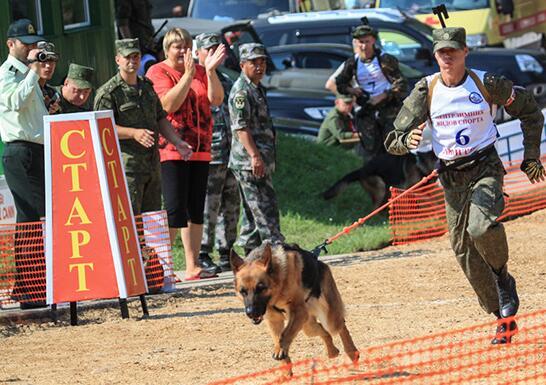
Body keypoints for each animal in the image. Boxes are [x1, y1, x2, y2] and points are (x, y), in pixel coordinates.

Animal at [230, 240, 356, 368]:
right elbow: (279, 340)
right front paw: (283, 362)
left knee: (341, 326)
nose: (251, 313)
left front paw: (281, 349)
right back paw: (332, 351)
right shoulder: (274, 321)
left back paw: (352, 352)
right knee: (324, 331)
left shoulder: (298, 313)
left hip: (328, 319)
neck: (278, 288)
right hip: (308, 326)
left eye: (261, 288)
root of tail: (319, 262)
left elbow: (285, 334)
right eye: (243, 291)